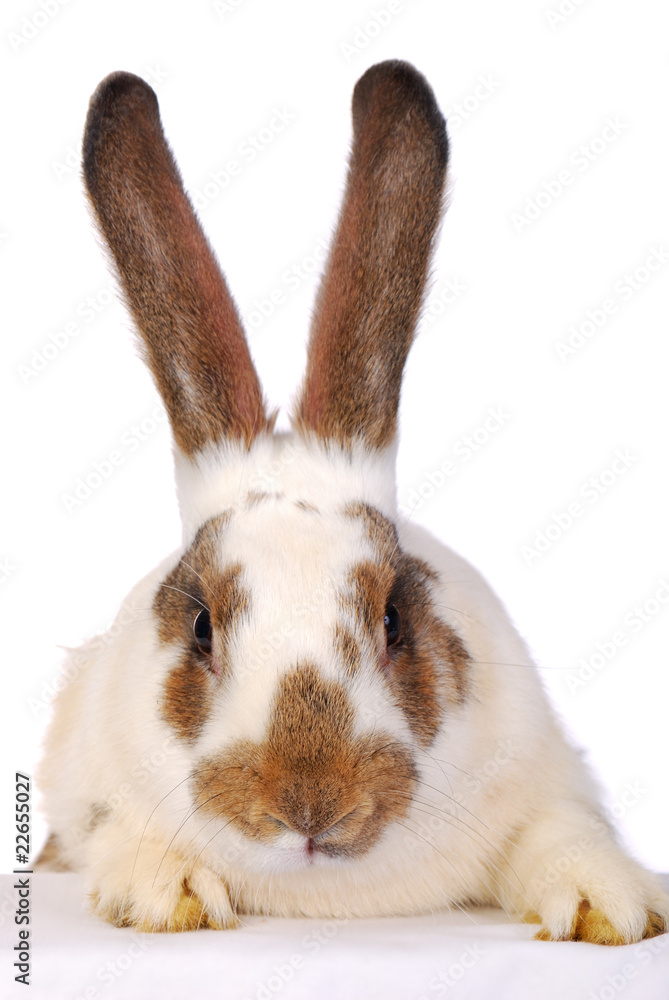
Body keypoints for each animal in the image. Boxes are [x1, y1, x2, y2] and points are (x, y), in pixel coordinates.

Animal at [36, 60, 669, 943]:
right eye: (201, 628)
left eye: (394, 620)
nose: (310, 804)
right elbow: (116, 839)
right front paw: (169, 893)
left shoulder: (548, 778)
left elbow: (561, 836)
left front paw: (603, 907)